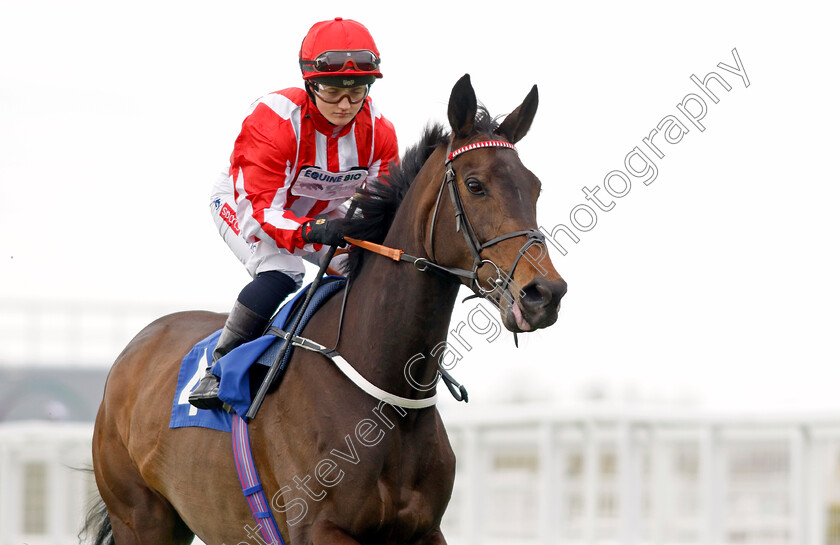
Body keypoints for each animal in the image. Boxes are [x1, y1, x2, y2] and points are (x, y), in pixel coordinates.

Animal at [87, 75, 564, 544]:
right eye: (475, 184)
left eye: (536, 186)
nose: (545, 293)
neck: (389, 396)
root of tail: (138, 344)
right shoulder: (319, 527)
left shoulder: (425, 530)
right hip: (140, 516)